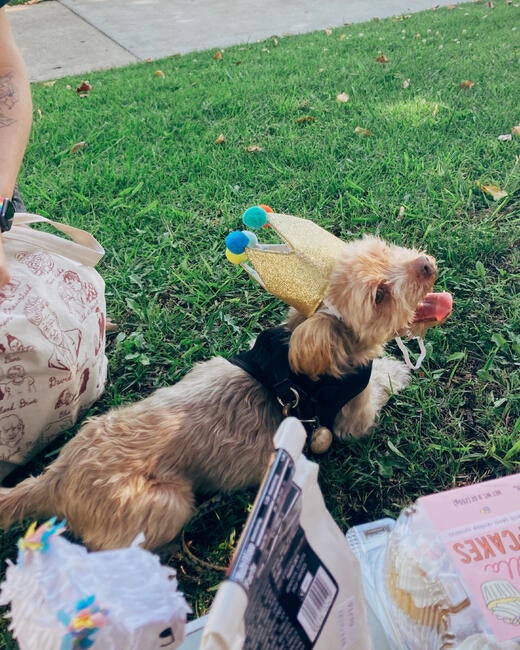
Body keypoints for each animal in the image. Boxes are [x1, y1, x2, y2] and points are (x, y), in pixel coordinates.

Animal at [0, 235, 443, 551]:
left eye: (384, 249)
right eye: (379, 295)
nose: (427, 265)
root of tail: (54, 479)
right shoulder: (354, 413)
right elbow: (378, 384)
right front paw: (396, 369)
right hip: (170, 502)